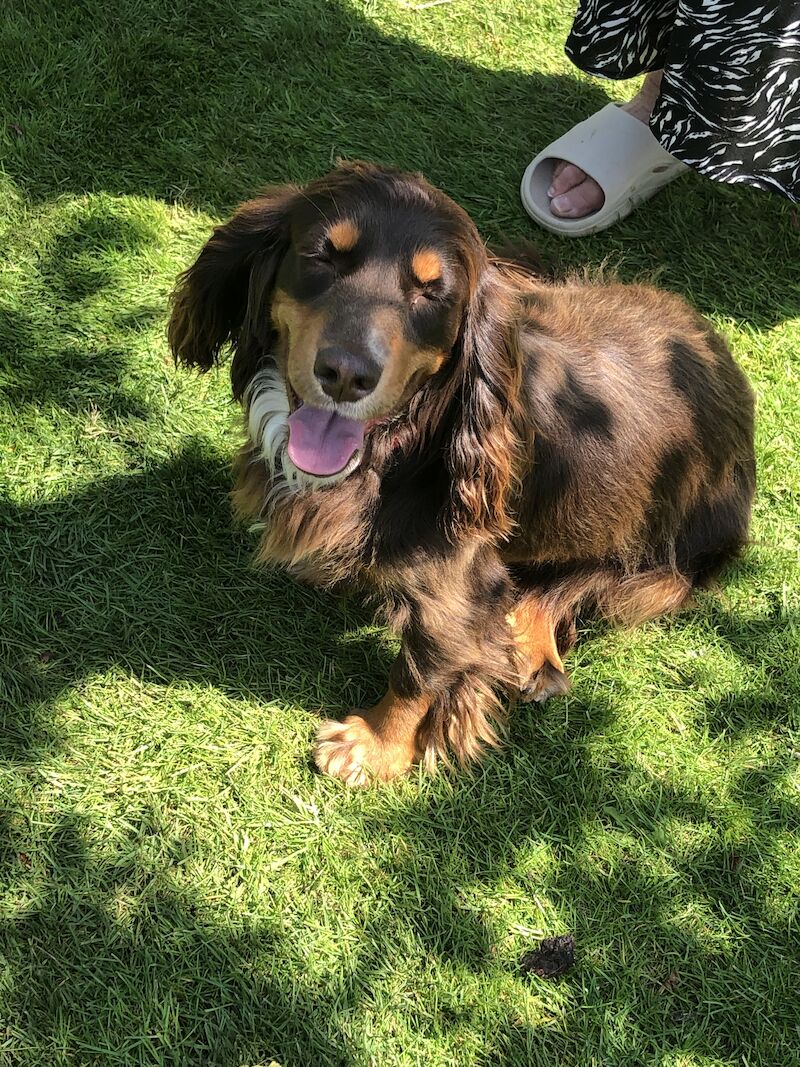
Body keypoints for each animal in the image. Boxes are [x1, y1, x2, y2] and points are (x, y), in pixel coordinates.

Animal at [169, 162, 759, 789]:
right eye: (321, 255)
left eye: (433, 292)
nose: (346, 374)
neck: (397, 453)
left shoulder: (457, 583)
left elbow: (421, 668)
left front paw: (371, 746)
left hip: (666, 554)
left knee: (587, 579)